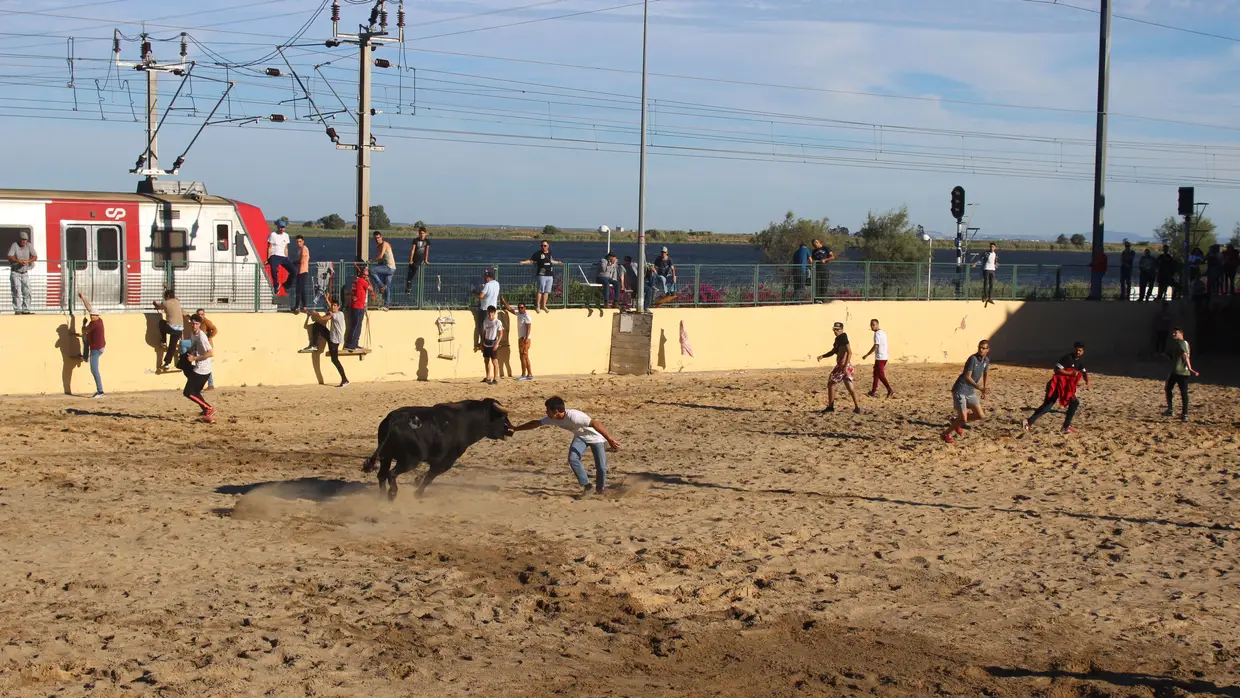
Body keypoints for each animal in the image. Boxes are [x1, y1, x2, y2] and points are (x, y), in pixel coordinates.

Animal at [362, 399, 515, 503]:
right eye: (502, 417)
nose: (511, 430)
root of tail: (393, 419)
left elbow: (427, 475)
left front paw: (417, 484)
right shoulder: (446, 461)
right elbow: (430, 477)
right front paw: (418, 494)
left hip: (386, 456)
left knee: (382, 475)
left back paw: (382, 497)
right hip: (409, 460)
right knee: (391, 474)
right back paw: (392, 494)